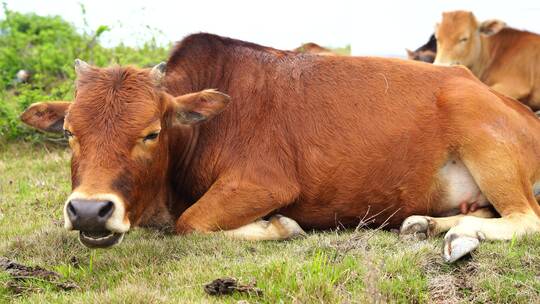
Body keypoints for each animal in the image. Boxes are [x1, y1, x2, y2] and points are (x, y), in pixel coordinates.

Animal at [21, 32, 540, 262]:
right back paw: (428, 226)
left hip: (483, 137)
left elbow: (192, 224)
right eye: (69, 132)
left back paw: (456, 233)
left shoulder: (265, 184)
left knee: (526, 218)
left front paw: (281, 227)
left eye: (151, 133)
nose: (90, 211)